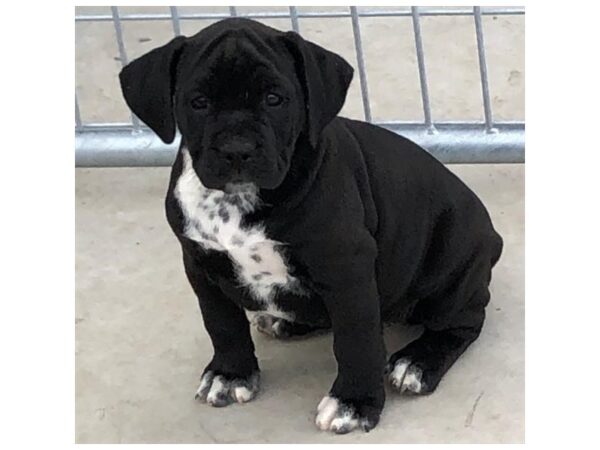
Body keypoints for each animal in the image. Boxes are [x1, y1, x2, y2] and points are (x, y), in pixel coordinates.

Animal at [117, 19, 502, 434]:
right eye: (198, 102)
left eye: (274, 99)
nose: (237, 149)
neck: (240, 201)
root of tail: (492, 237)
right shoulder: (201, 265)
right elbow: (221, 323)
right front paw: (231, 374)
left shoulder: (346, 269)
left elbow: (356, 340)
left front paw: (354, 403)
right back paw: (284, 321)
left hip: (452, 266)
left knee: (464, 320)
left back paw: (417, 361)